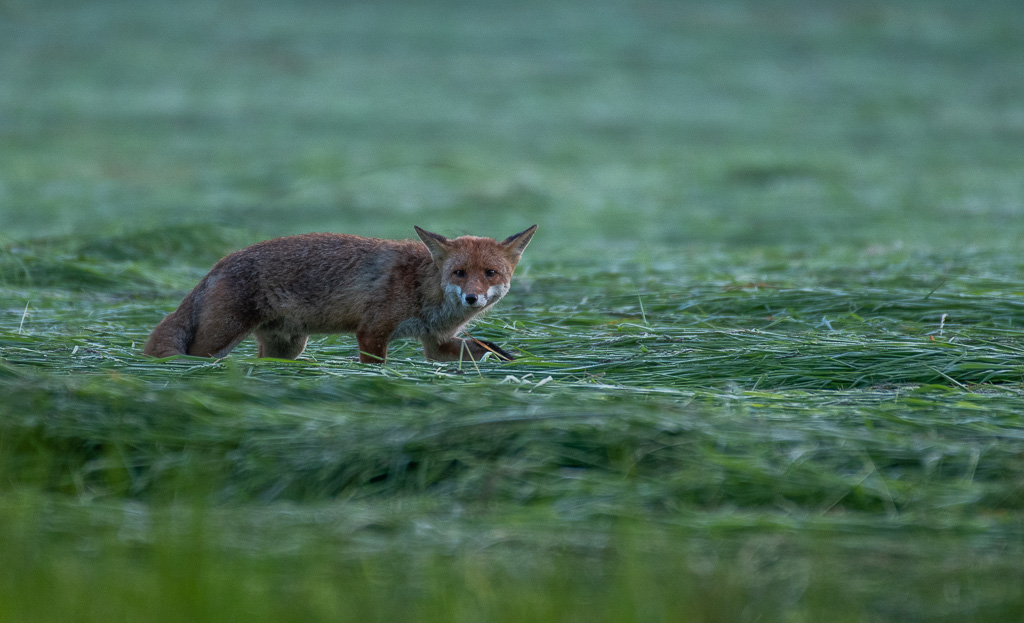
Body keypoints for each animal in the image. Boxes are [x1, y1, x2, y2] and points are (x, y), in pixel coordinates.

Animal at [143, 225, 537, 363]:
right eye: (459, 273)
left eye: (489, 274)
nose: (472, 298)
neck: (422, 287)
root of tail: (219, 263)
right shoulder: (373, 332)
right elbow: (375, 365)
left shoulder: (436, 343)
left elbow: (482, 348)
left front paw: (513, 361)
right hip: (218, 339)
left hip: (288, 346)